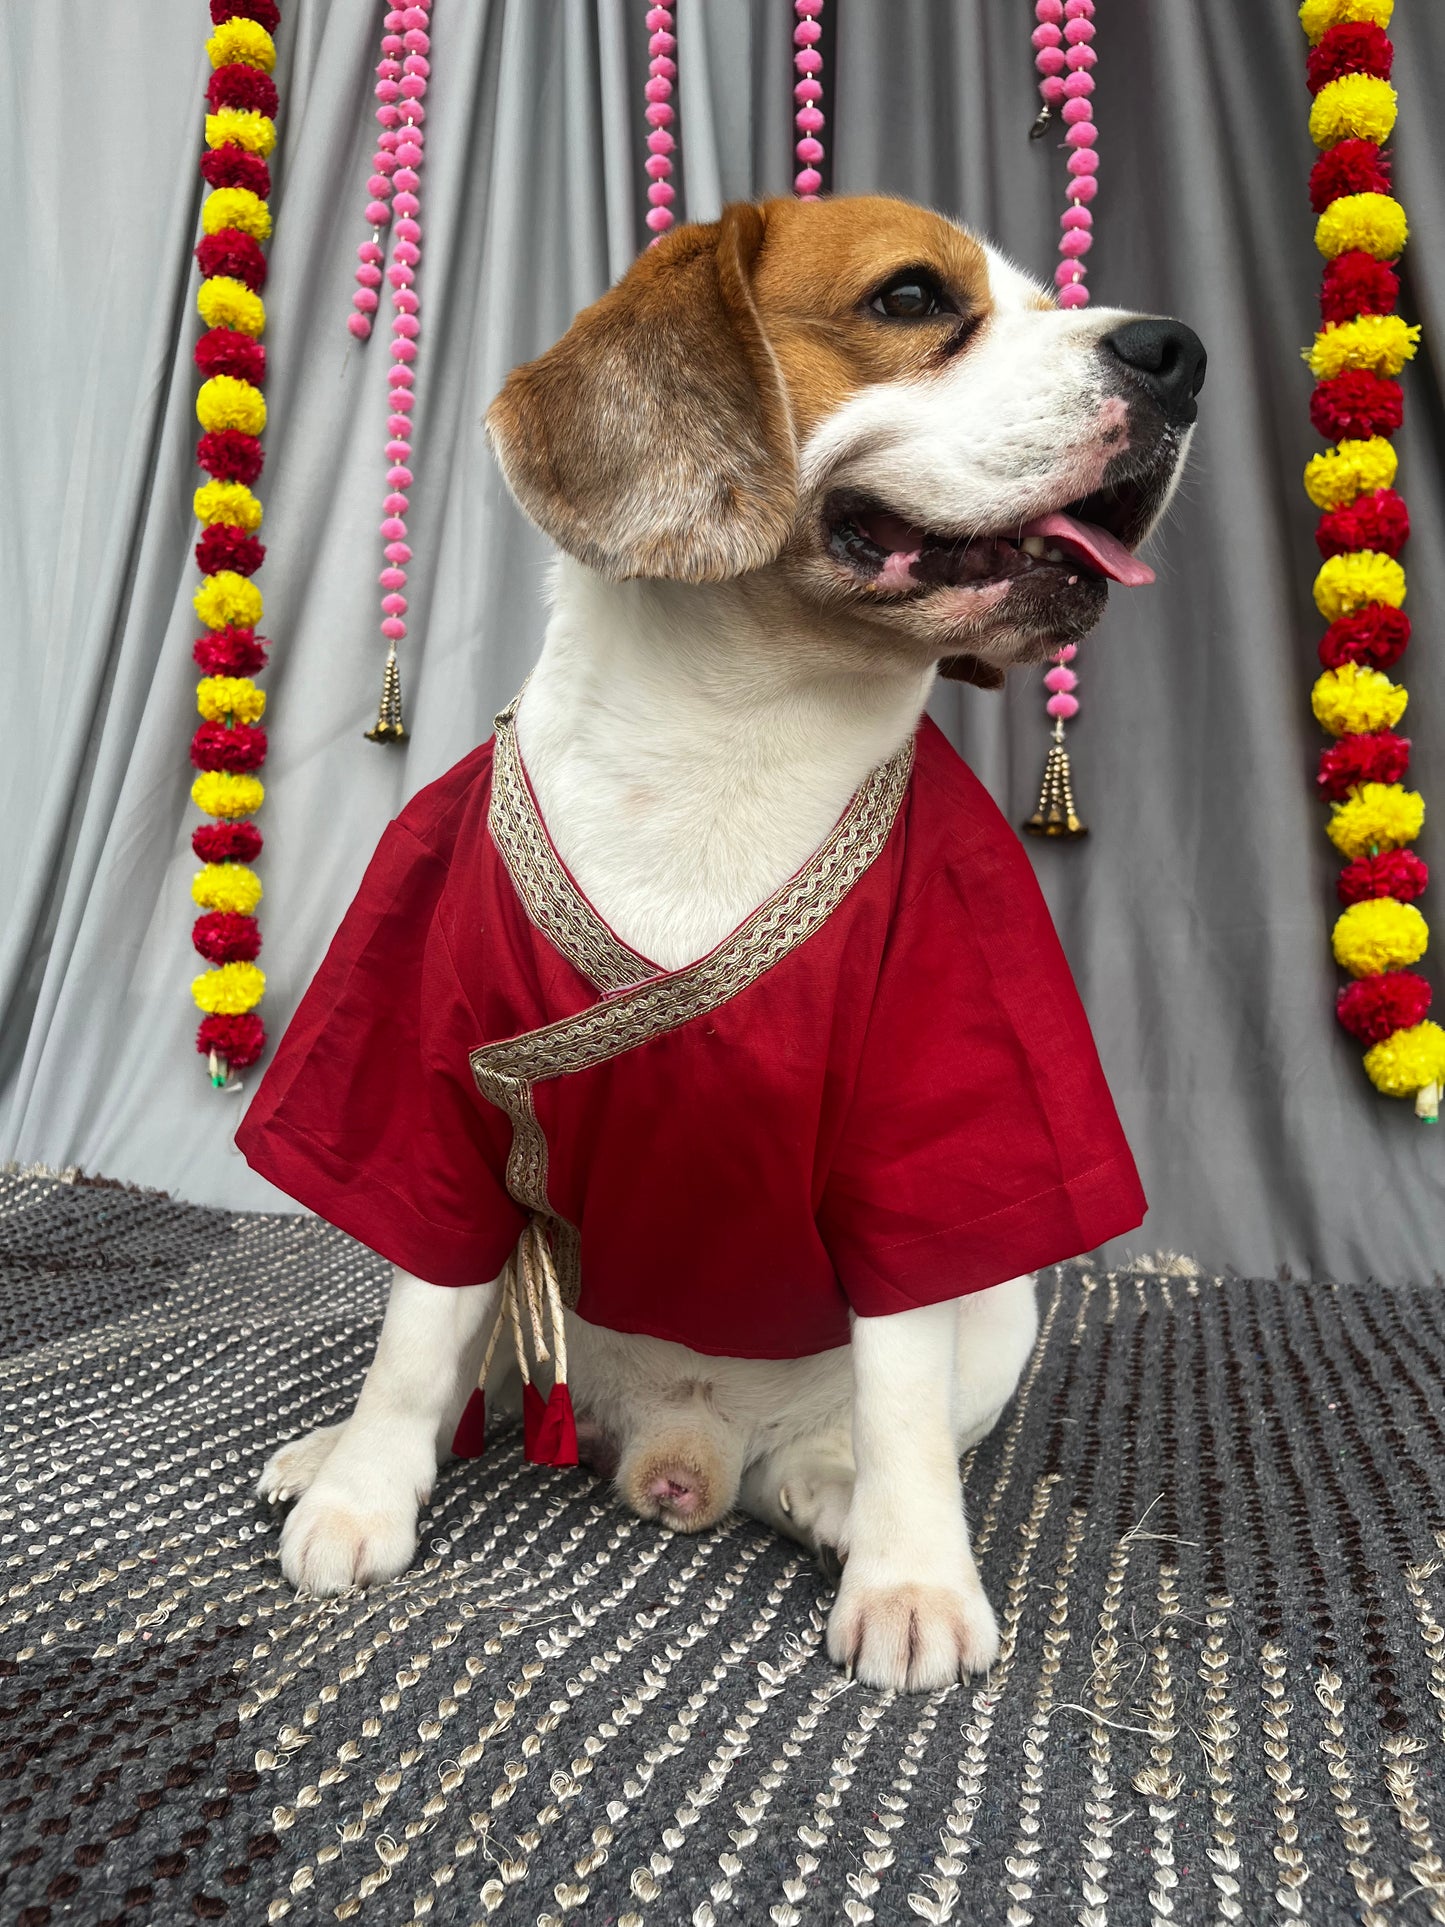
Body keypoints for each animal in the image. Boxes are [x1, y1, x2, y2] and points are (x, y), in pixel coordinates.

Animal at [254, 199, 1202, 1688]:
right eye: (913, 298)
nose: (1179, 354)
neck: (738, 732)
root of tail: (679, 1443)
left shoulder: (932, 1101)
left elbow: (899, 1389)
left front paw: (913, 1575)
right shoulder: (426, 1083)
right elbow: (414, 1333)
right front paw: (361, 1489)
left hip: (1002, 1309)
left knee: (848, 1434)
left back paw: (831, 1492)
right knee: (471, 1357)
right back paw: (338, 1448)